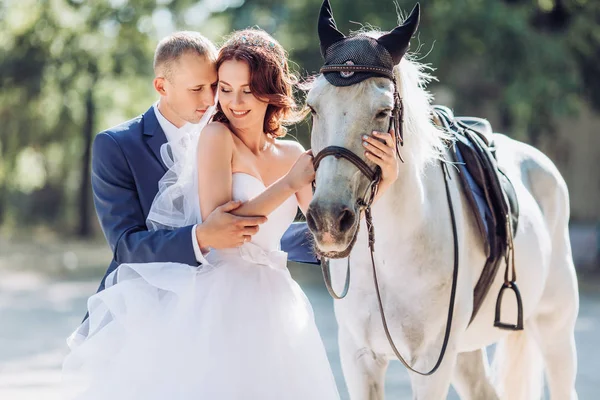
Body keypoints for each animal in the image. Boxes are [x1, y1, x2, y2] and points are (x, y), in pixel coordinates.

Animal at [308, 1, 580, 398]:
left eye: (383, 111)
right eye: (313, 107)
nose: (329, 219)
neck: (389, 254)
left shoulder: (431, 363)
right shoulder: (359, 358)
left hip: (554, 330)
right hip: (466, 353)